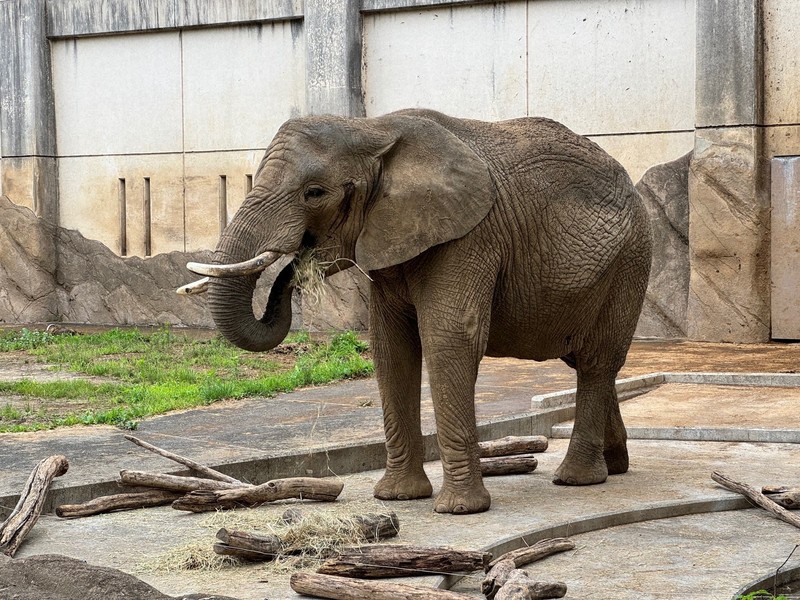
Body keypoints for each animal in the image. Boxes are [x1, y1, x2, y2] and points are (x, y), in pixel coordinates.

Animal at [184, 109, 652, 516]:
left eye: (314, 193)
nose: (296, 264)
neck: (371, 128)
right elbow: (391, 347)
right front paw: (397, 497)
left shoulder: (470, 235)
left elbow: (449, 337)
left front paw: (460, 510)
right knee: (585, 360)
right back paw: (616, 465)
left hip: (631, 260)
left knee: (596, 360)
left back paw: (577, 479)